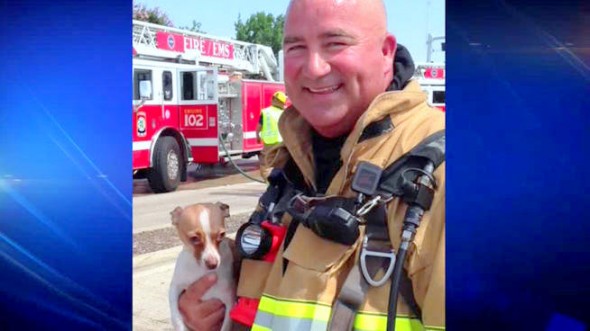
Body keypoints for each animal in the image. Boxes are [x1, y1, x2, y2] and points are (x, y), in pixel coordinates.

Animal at [169, 202, 236, 331]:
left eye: (222, 235)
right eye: (194, 238)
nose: (213, 264)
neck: (200, 271)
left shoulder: (230, 302)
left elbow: (225, 327)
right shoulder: (174, 288)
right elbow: (176, 318)